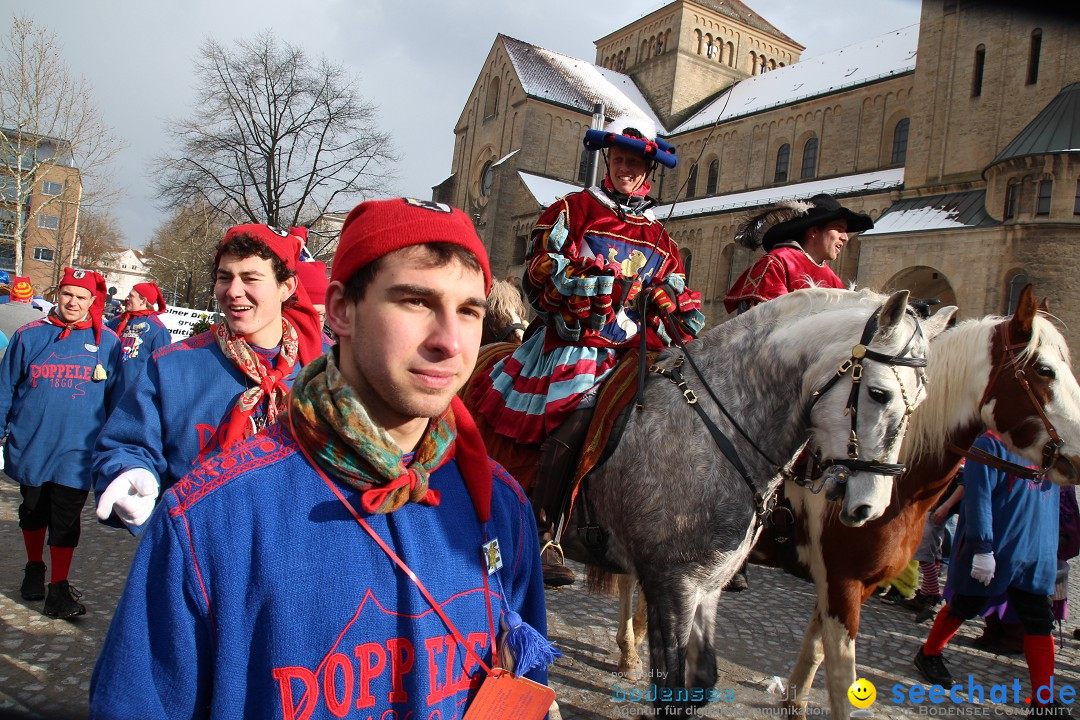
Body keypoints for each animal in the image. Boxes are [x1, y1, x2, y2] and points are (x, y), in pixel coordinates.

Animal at [468, 289, 959, 716]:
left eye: (921, 401)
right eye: (878, 393)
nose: (868, 508)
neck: (716, 428)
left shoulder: (710, 584)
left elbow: (701, 683)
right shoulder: (674, 585)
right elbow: (672, 689)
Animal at [743, 284, 1080, 716]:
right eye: (1044, 370)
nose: (1077, 458)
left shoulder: (849, 584)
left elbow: (815, 653)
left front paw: (794, 704)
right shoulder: (844, 584)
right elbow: (844, 683)